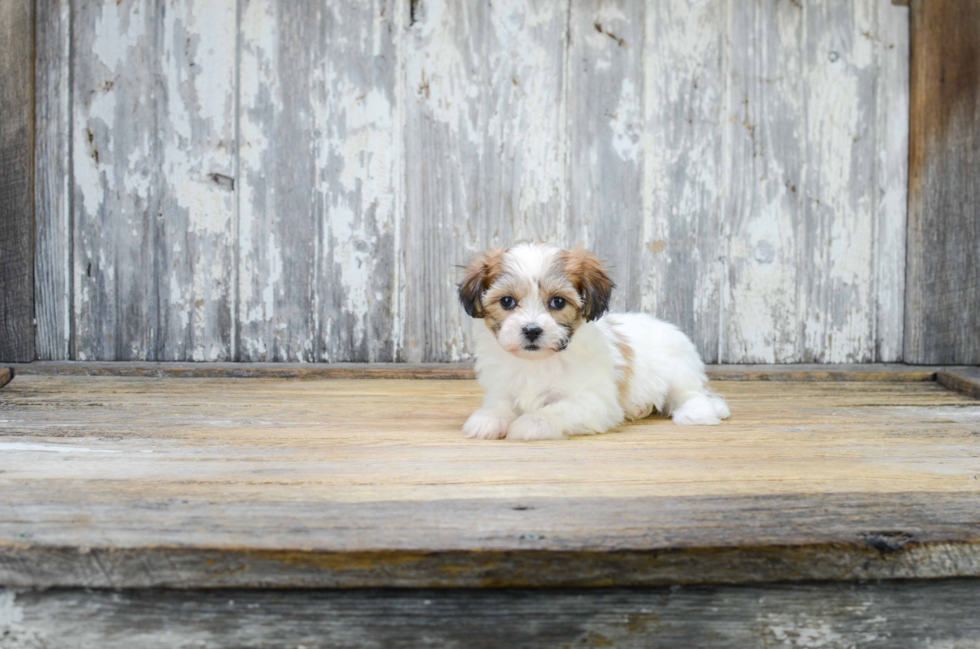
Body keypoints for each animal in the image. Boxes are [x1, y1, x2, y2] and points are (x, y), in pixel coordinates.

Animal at [460, 243, 728, 440]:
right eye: (507, 301)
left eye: (558, 302)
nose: (532, 330)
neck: (536, 362)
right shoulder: (502, 386)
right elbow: (500, 403)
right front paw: (488, 419)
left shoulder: (593, 401)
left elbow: (557, 409)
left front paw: (532, 423)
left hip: (679, 371)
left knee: (689, 393)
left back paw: (697, 412)